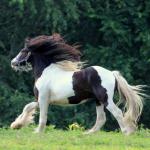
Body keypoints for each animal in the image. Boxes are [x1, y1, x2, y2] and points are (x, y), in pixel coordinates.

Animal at [10, 33, 144, 135]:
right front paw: (16, 125)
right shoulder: (41, 99)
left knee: (117, 113)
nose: (13, 62)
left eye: (23, 51)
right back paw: (88, 133)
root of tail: (112, 73)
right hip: (98, 100)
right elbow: (28, 107)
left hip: (105, 99)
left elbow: (42, 117)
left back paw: (126, 132)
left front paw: (37, 132)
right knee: (101, 118)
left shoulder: (43, 98)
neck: (45, 72)